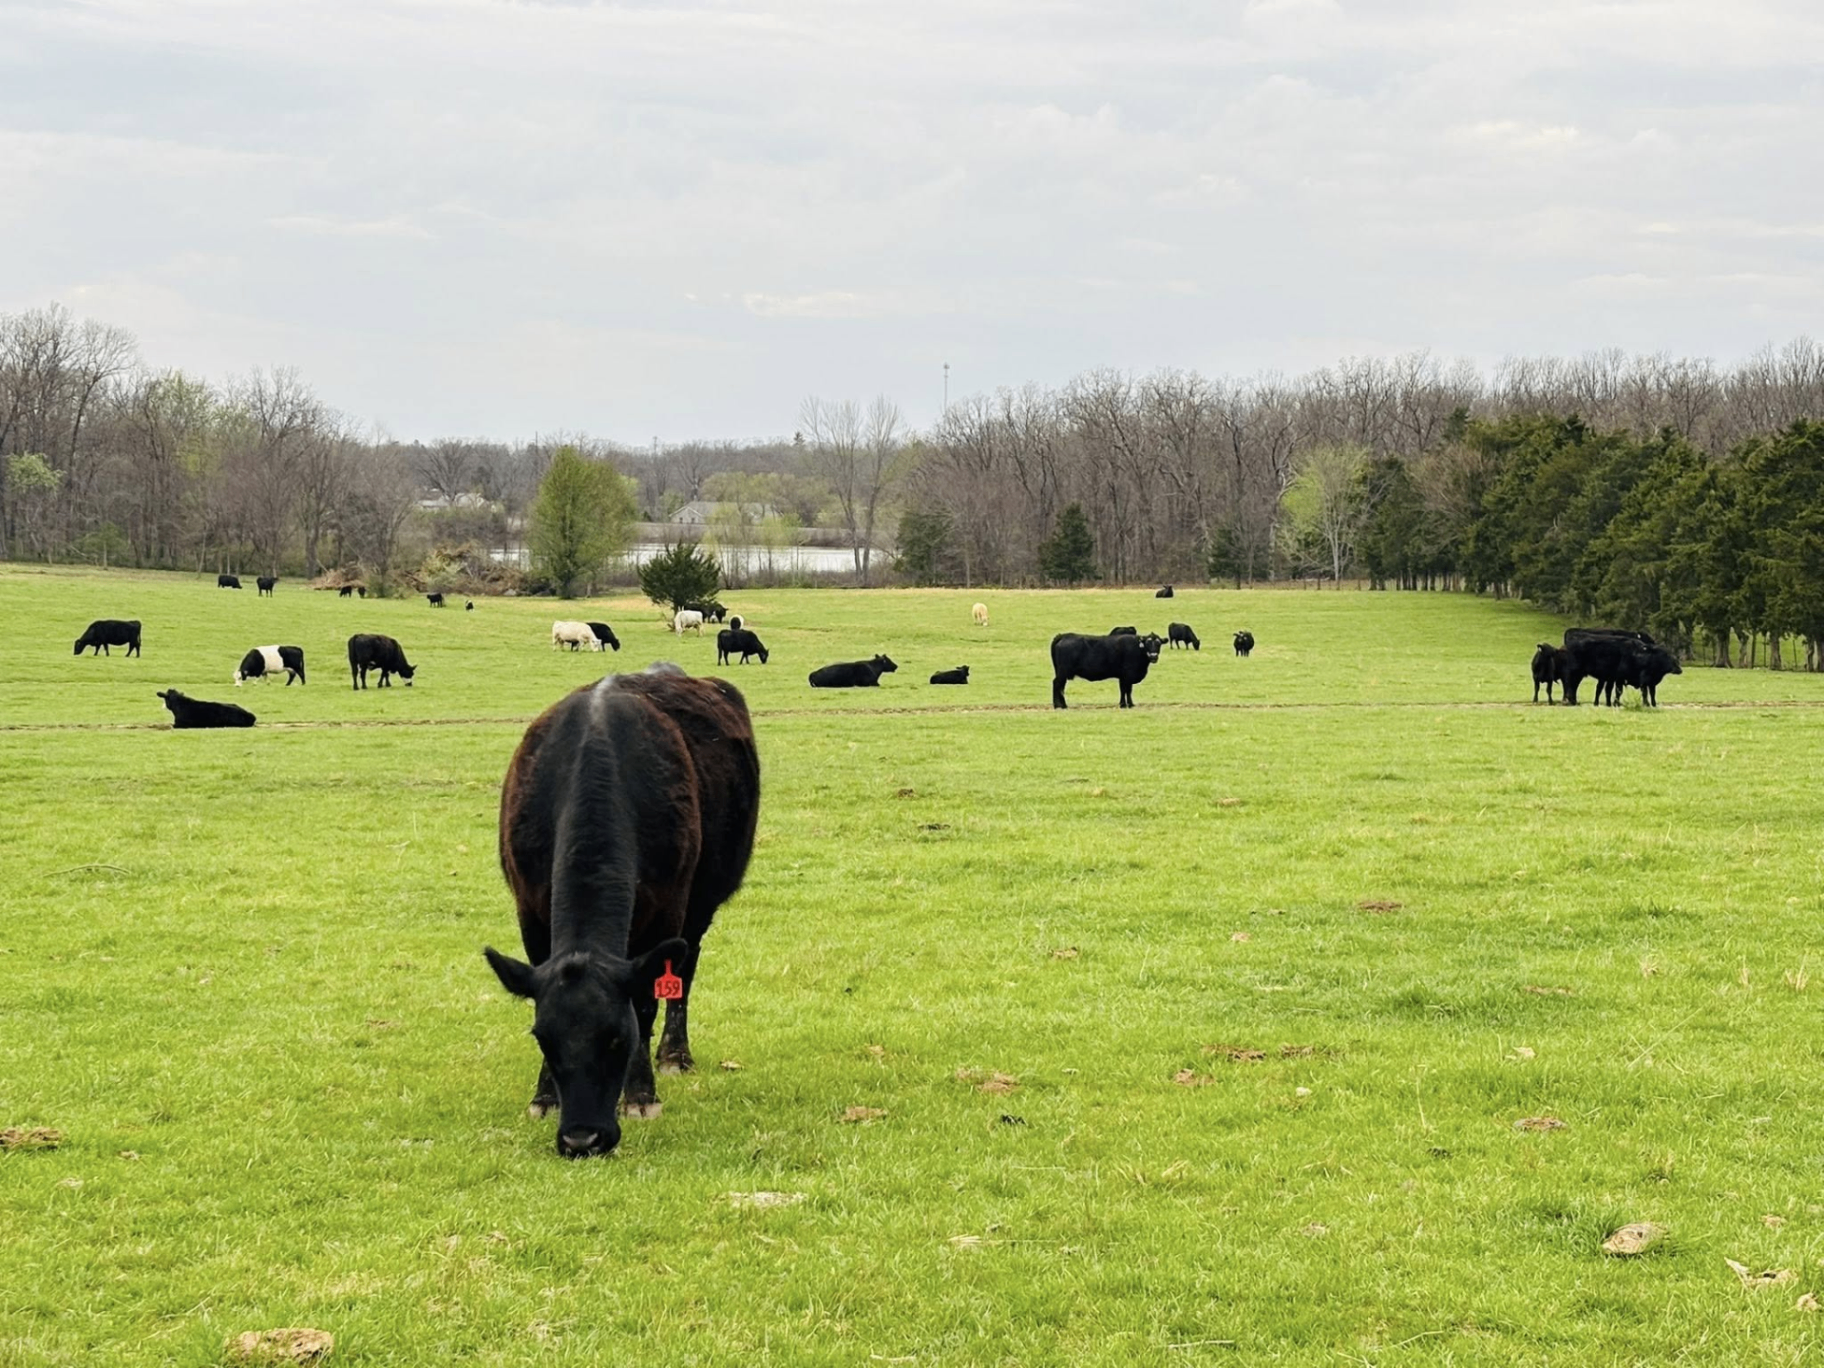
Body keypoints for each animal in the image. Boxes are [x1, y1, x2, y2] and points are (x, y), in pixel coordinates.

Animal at [484, 665, 761, 1157]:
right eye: (543, 1038)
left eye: (617, 1038)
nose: (581, 1138)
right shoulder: (530, 912)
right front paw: (544, 1096)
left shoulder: (667, 913)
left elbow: (648, 1001)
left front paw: (641, 1096)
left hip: (699, 907)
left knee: (684, 978)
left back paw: (675, 1055)